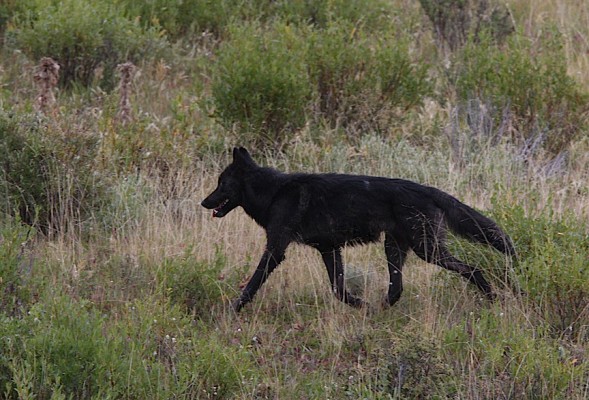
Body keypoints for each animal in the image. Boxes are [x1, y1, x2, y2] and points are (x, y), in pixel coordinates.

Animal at [202, 147, 516, 312]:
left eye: (221, 184)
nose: (203, 202)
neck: (274, 192)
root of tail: (430, 190)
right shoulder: (329, 249)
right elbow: (338, 289)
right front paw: (359, 305)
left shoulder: (276, 249)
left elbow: (253, 282)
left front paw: (233, 309)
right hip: (395, 250)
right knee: (397, 290)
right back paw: (378, 310)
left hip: (428, 251)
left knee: (473, 269)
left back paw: (492, 299)